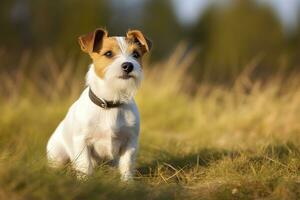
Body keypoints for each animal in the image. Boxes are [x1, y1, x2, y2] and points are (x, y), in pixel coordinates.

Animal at [46, 28, 151, 181]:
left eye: (136, 54)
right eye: (108, 53)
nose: (128, 66)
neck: (111, 102)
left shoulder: (130, 142)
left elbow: (126, 165)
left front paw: (127, 183)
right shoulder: (82, 142)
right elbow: (85, 165)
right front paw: (85, 182)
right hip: (58, 155)